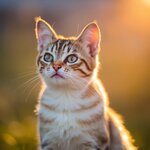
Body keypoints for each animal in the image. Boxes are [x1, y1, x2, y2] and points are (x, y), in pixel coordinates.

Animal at [34, 16, 138, 150]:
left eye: (72, 58)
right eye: (48, 57)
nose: (56, 66)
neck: (65, 97)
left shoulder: (94, 142)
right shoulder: (48, 141)